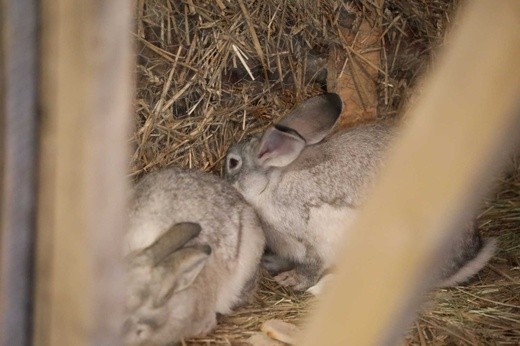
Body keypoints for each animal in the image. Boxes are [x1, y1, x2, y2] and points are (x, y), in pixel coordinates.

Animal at [224, 92, 496, 292]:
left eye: (232, 163)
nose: (222, 181)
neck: (270, 183)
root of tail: (461, 263)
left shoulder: (312, 238)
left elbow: (312, 267)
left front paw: (291, 280)